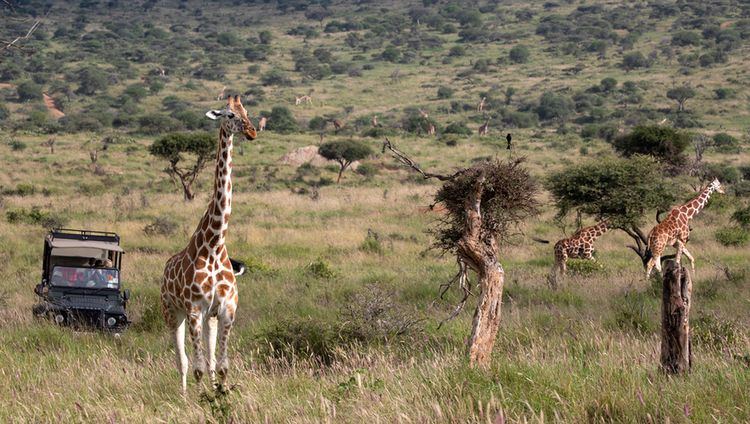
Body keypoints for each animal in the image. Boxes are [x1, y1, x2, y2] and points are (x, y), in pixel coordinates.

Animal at [160, 95, 258, 390]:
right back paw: (182, 394)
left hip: (208, 318)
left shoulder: (225, 310)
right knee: (181, 361)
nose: (252, 131)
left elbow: (221, 366)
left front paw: (220, 393)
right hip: (172, 311)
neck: (214, 244)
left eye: (246, 112)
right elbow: (197, 367)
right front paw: (200, 397)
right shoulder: (193, 309)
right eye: (229, 115)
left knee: (210, 358)